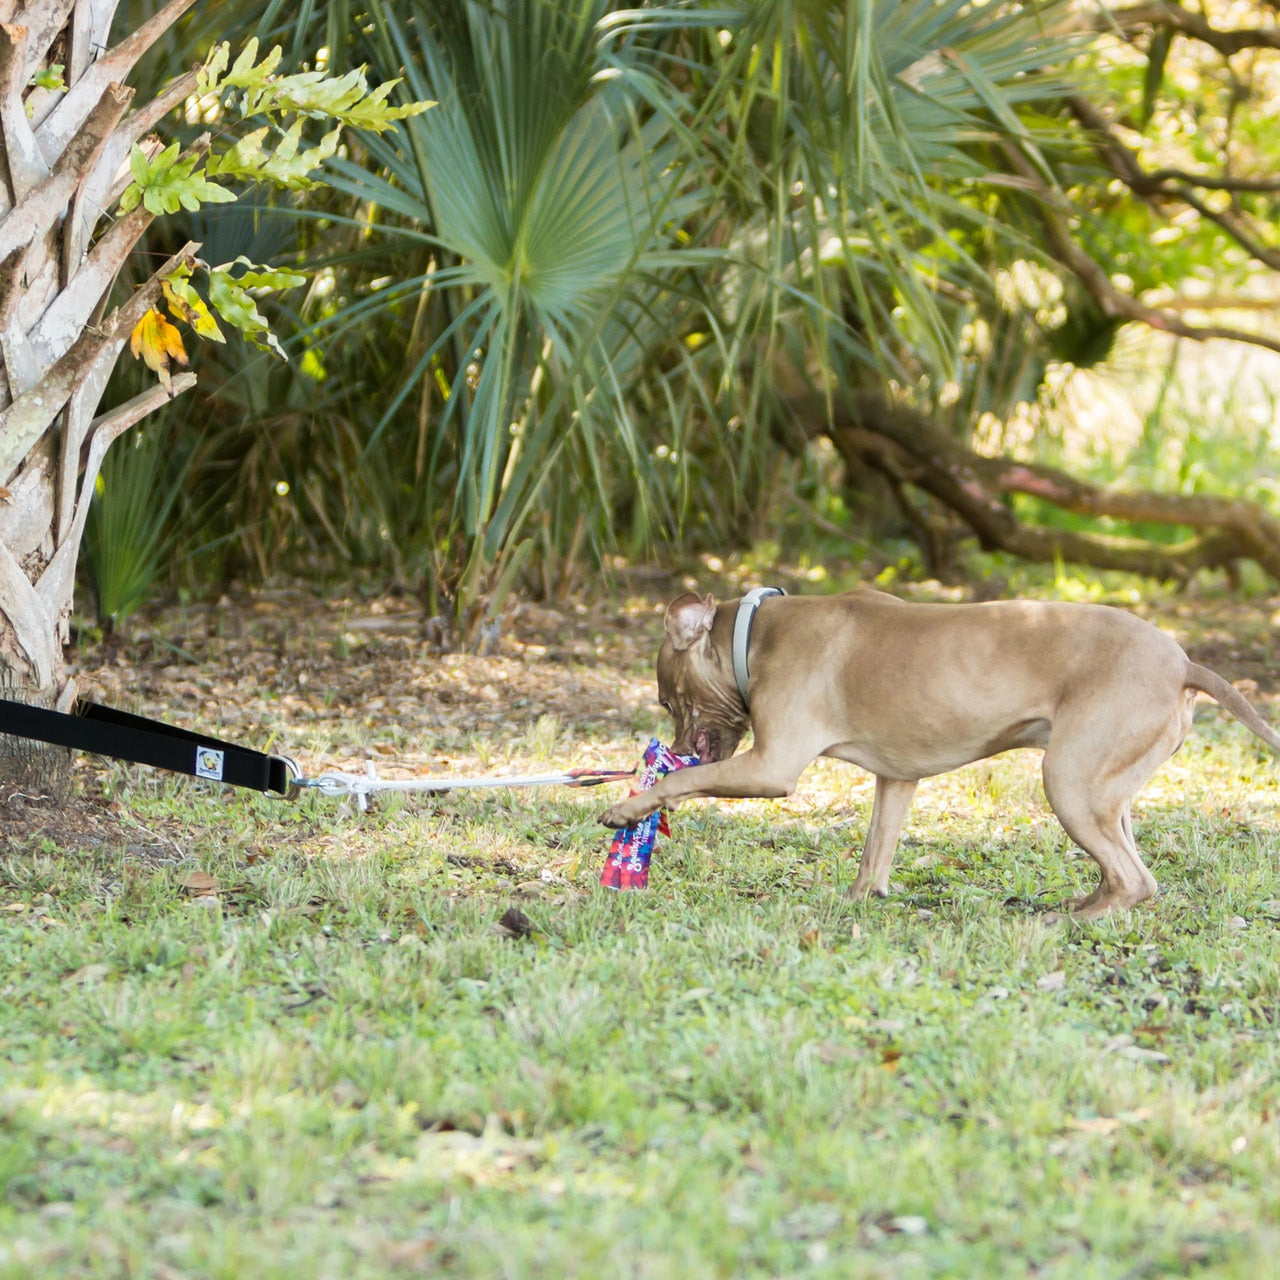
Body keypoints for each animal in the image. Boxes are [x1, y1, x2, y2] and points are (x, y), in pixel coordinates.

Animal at [601, 588, 1280, 921]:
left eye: (667, 699)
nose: (674, 749)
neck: (753, 634)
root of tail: (1184, 662)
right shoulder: (897, 779)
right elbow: (875, 851)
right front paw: (856, 903)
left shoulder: (771, 767)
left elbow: (689, 783)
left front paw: (631, 806)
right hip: (1104, 789)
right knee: (1125, 868)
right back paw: (1082, 905)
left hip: (1067, 780)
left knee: (1136, 879)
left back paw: (1065, 923)